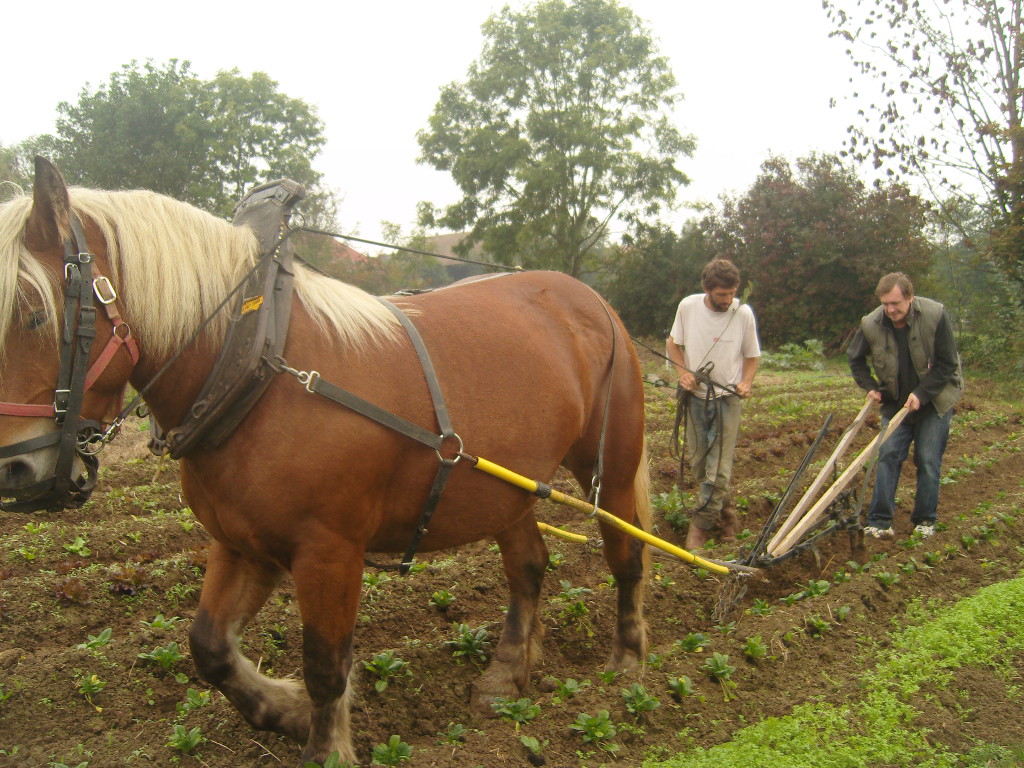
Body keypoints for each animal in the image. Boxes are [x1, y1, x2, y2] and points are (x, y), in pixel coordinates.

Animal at [0, 159, 647, 765]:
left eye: (35, 314)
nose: (15, 472)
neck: (257, 368)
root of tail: (590, 298)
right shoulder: (242, 542)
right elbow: (209, 646)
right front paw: (284, 709)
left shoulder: (328, 551)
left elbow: (324, 663)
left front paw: (324, 747)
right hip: (506, 488)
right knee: (529, 566)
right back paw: (506, 675)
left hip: (611, 466)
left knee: (627, 555)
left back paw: (628, 667)